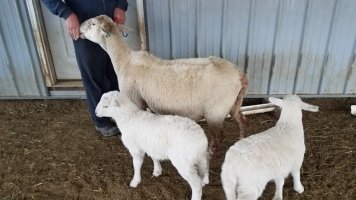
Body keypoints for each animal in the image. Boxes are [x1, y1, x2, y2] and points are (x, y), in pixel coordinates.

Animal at [79, 14, 249, 154]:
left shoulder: (135, 100)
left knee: (219, 136)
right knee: (241, 121)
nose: (79, 27)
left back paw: (210, 153)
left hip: (215, 112)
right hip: (234, 104)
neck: (124, 60)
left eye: (93, 23)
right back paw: (241, 141)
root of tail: (239, 74)